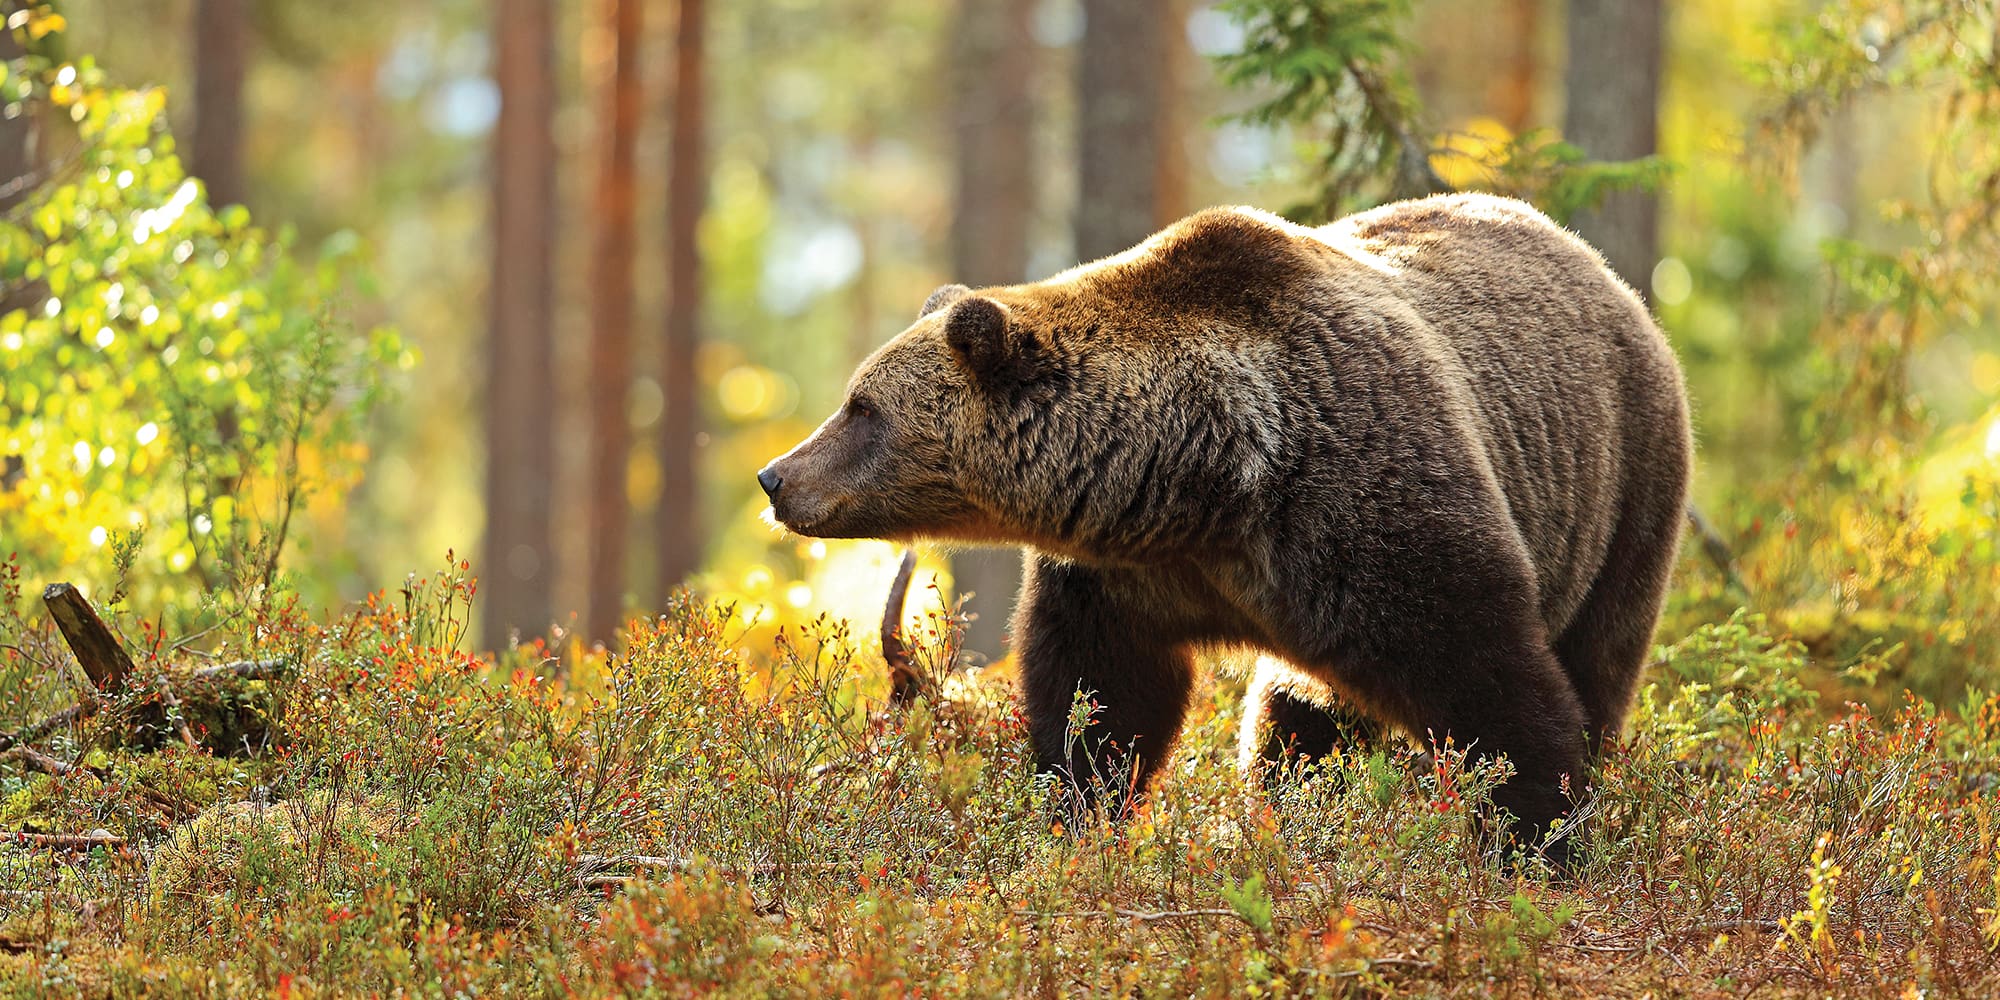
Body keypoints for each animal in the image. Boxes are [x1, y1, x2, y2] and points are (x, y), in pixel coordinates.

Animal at [757, 192, 1691, 861]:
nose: (776, 477)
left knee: (1598, 653)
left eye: (863, 407)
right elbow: (1104, 697)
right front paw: (1072, 811)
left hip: (1622, 488)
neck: (1205, 479)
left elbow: (1490, 676)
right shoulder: (1128, 575)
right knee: (1299, 716)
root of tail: (1604, 272)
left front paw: (1537, 837)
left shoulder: (1369, 501)